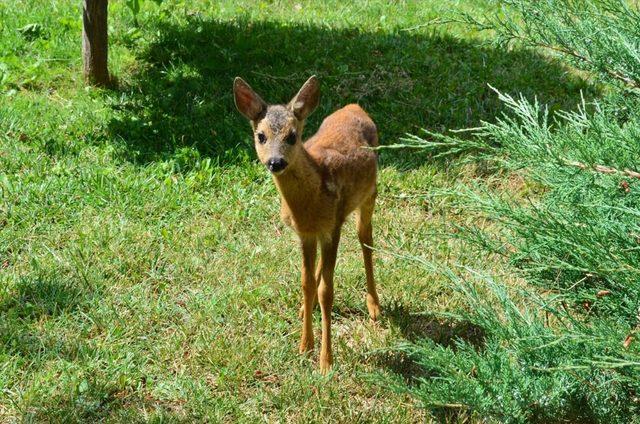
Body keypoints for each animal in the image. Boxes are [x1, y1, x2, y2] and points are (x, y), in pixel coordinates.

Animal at [232, 74, 380, 372]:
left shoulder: (331, 227)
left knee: (365, 239)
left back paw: (374, 306)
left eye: (292, 135)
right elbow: (306, 283)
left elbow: (326, 291)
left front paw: (325, 362)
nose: (275, 162)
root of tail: (355, 106)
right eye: (261, 136)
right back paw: (305, 308)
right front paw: (304, 345)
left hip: (369, 194)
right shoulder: (305, 233)